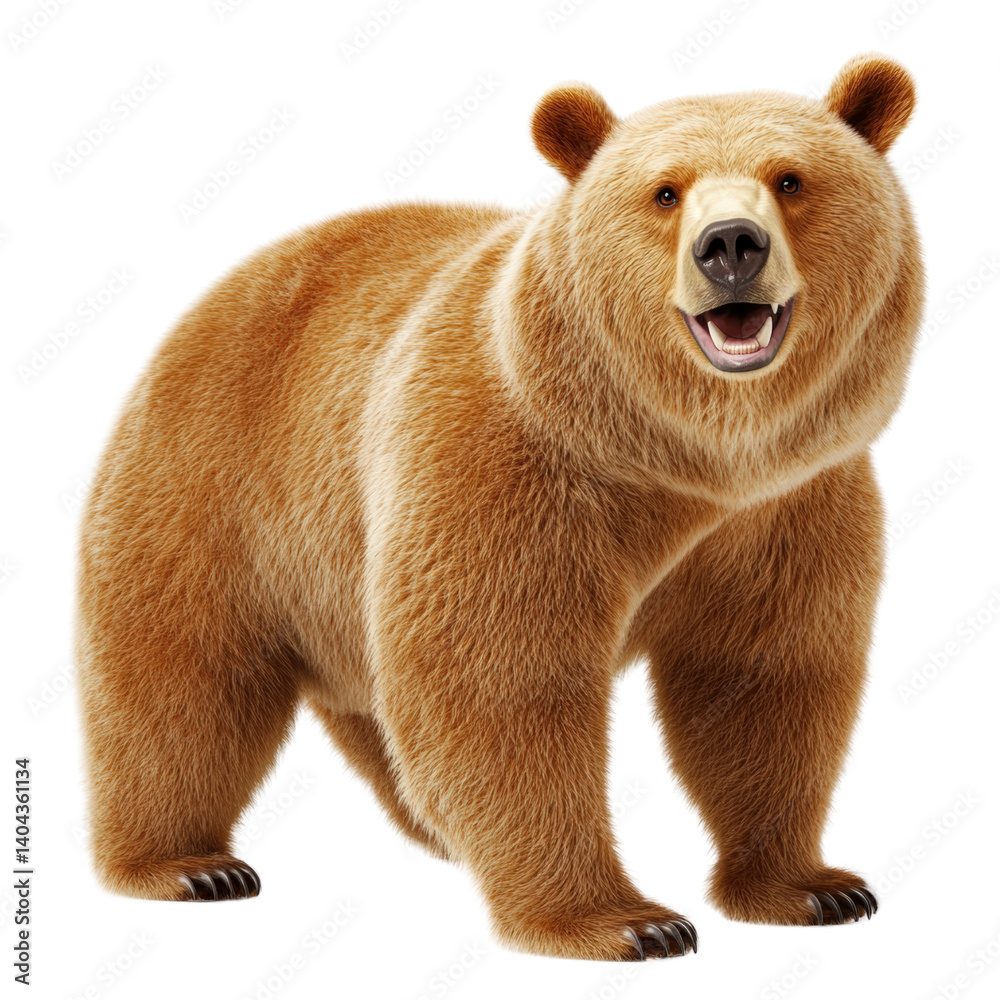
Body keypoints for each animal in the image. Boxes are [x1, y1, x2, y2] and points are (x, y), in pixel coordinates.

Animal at [75, 53, 923, 961]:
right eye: (664, 191)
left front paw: (812, 886)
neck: (682, 460)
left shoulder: (790, 507)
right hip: (212, 483)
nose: (731, 245)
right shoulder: (507, 468)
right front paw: (626, 920)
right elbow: (504, 684)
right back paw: (187, 865)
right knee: (180, 678)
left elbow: (762, 681)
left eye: (790, 178)